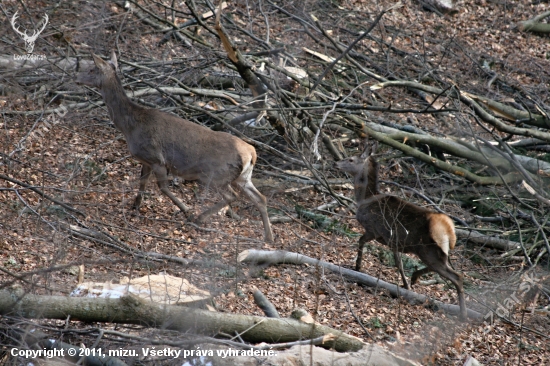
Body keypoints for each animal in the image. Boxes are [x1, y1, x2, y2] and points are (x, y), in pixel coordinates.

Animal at [76, 50, 274, 242]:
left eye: (93, 69)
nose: (76, 78)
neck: (130, 127)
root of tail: (251, 153)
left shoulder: (157, 158)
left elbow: (162, 187)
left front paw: (186, 210)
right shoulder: (146, 160)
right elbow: (142, 182)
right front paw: (135, 206)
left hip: (216, 174)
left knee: (232, 196)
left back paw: (199, 218)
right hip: (243, 177)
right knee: (261, 198)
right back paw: (268, 237)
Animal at [334, 150, 468, 318]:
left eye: (351, 159)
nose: (335, 163)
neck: (365, 199)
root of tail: (448, 228)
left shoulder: (374, 230)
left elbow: (361, 241)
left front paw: (357, 266)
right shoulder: (393, 241)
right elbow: (399, 263)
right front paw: (406, 284)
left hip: (427, 250)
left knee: (457, 277)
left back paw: (463, 314)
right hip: (435, 252)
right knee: (446, 270)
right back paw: (415, 277)